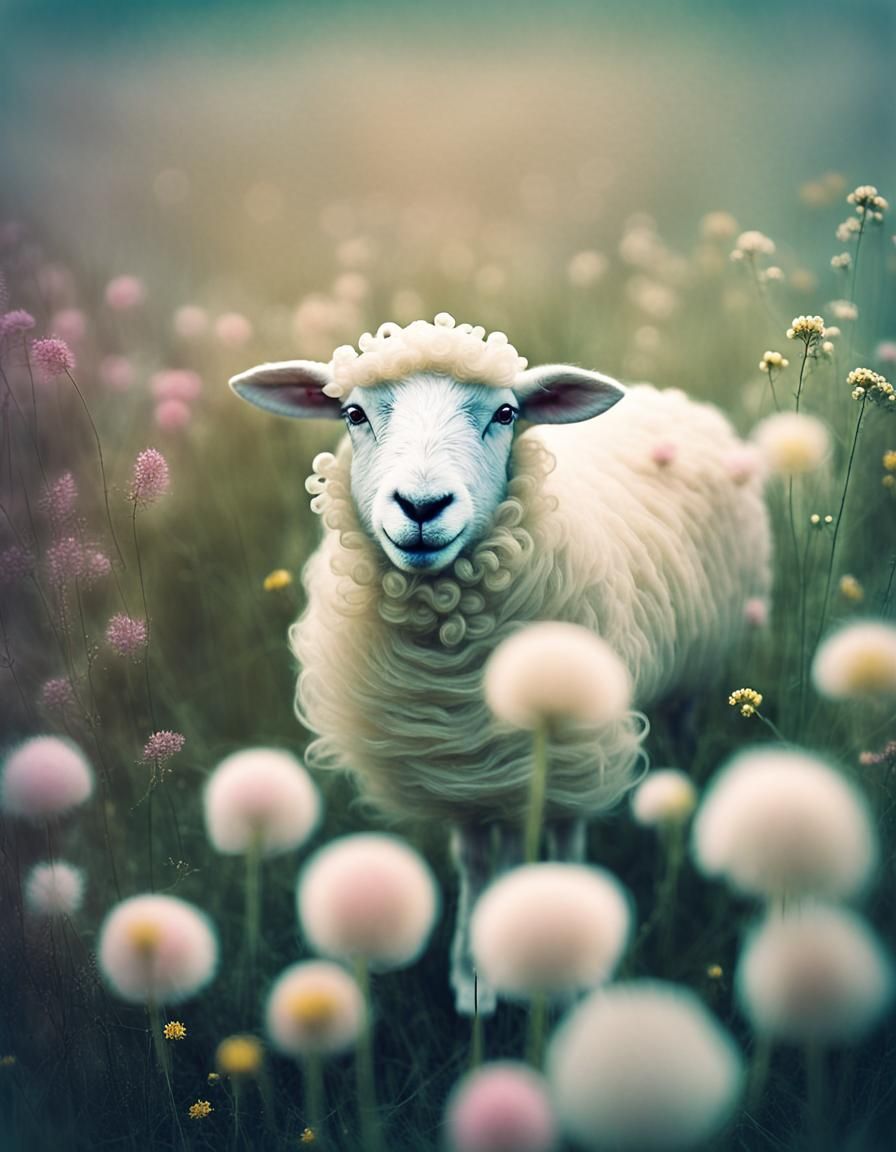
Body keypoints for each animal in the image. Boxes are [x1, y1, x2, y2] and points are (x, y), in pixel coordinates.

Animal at [231, 314, 772, 1013]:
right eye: (352, 413)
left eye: (507, 413)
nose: (422, 507)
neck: (451, 639)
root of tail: (667, 396)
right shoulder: (454, 762)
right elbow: (477, 859)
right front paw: (475, 978)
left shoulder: (564, 745)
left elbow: (550, 840)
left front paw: (555, 950)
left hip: (690, 675)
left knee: (671, 743)